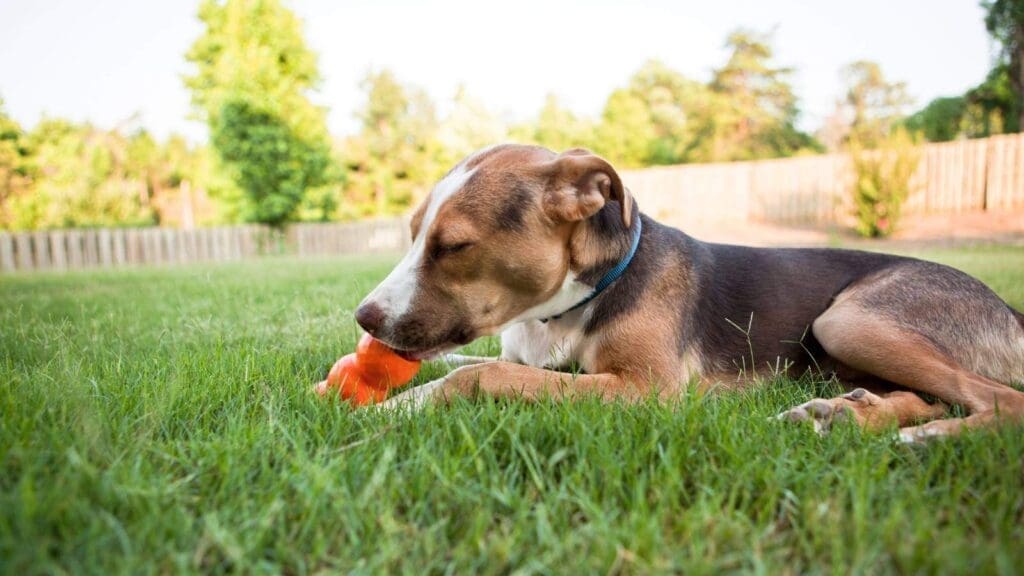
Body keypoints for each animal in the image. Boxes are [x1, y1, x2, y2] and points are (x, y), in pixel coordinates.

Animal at [354, 143, 1024, 438]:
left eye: (454, 246)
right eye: (413, 233)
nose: (363, 318)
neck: (571, 305)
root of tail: (1010, 310)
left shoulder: (645, 390)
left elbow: (476, 374)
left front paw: (395, 407)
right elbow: (466, 363)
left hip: (850, 321)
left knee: (999, 401)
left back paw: (924, 438)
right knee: (931, 396)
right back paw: (845, 414)